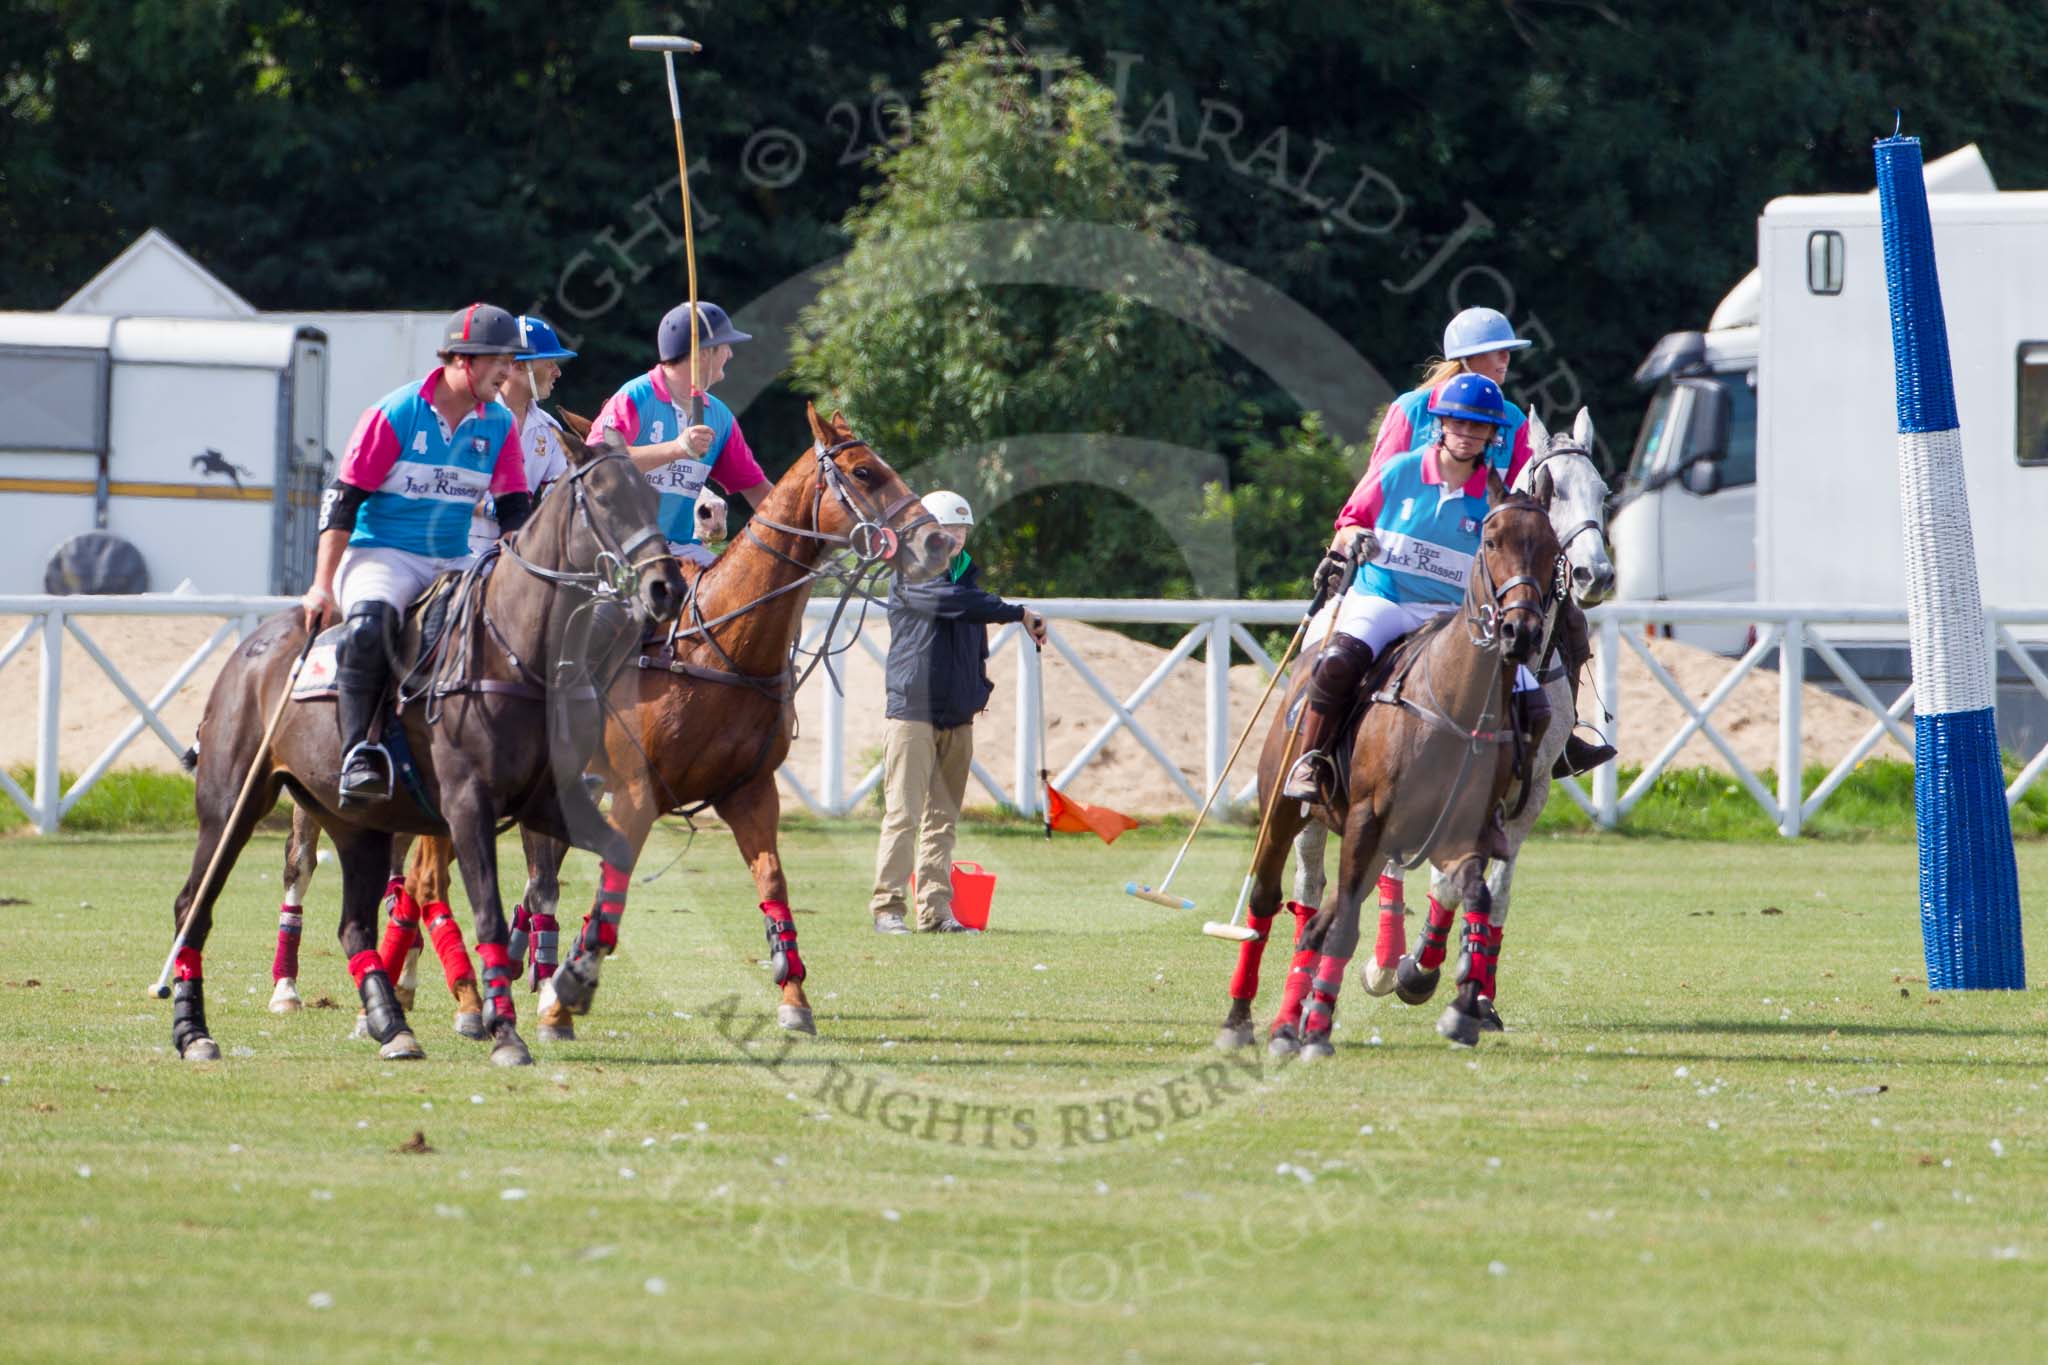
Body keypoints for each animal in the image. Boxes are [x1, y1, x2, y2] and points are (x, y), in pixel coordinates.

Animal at [167, 437, 679, 1064]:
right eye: (604, 497)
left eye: (652, 496)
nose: (665, 588)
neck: (518, 652)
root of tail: (250, 648)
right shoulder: (467, 804)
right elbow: (487, 914)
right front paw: (505, 1033)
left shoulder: (548, 804)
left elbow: (615, 858)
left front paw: (575, 981)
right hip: (231, 804)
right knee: (193, 904)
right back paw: (194, 1032)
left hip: (355, 823)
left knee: (353, 925)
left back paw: (392, 1026)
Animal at [1204, 474, 1556, 1064]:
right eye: (1490, 541)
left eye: (1553, 550)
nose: (1520, 633)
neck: (1455, 707)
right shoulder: (1367, 819)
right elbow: (1342, 926)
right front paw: (1318, 1033)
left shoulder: (1460, 835)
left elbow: (1476, 896)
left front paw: (1461, 1009)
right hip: (1285, 810)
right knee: (1269, 902)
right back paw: (1243, 1020)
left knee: (1316, 925)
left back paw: (1287, 1024)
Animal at [1294, 409, 1613, 1035]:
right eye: (1557, 491)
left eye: (1604, 492)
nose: (1596, 575)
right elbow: (1443, 878)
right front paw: (1414, 968)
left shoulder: (1526, 794)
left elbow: (1494, 886)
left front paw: (1477, 995)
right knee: (1312, 875)